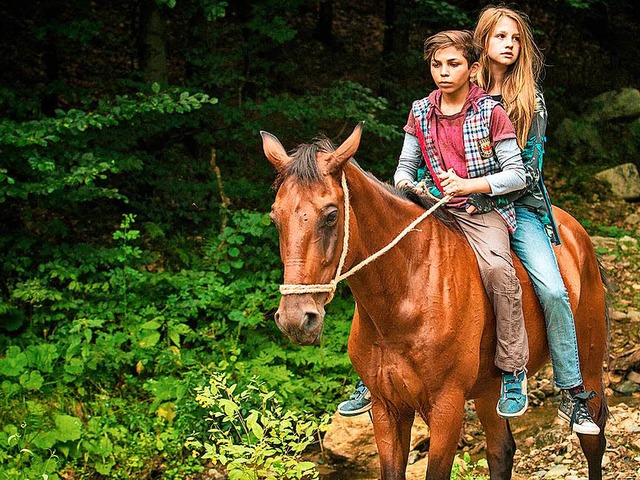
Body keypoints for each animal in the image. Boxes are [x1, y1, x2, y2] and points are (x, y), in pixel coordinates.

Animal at [262, 124, 608, 480]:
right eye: (275, 216)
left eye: (331, 215)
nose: (296, 319)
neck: (407, 294)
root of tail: (578, 236)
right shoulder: (387, 409)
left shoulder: (446, 407)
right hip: (489, 389)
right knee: (501, 451)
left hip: (588, 365)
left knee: (593, 440)